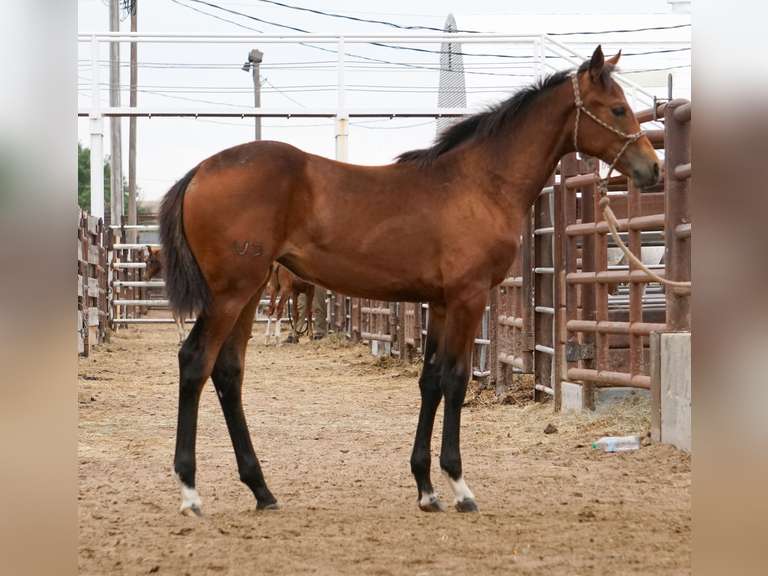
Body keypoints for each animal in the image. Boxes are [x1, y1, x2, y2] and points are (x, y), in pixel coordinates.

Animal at [159, 46, 660, 516]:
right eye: (617, 108)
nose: (652, 168)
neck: (480, 184)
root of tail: (201, 171)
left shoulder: (438, 304)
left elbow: (430, 381)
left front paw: (425, 487)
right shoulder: (468, 299)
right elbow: (456, 380)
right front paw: (458, 485)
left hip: (250, 293)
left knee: (228, 372)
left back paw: (261, 489)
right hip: (230, 295)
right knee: (195, 362)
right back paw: (189, 491)